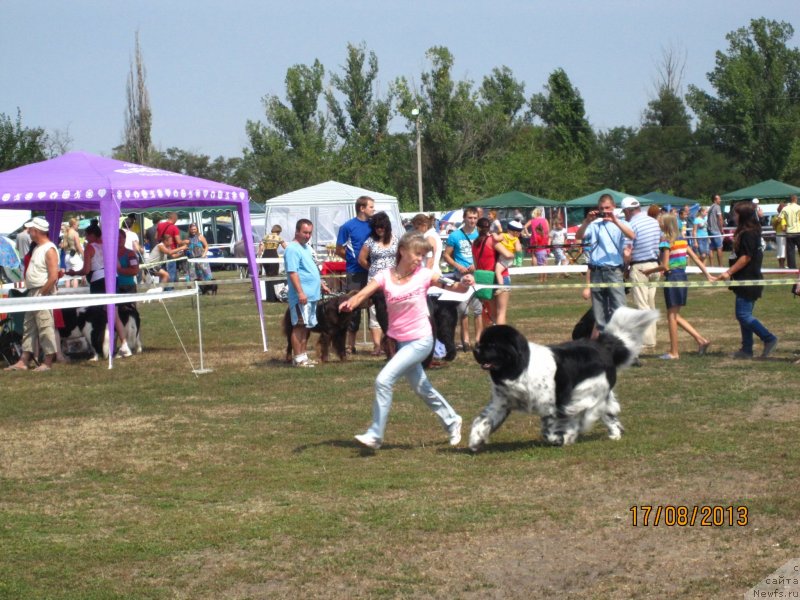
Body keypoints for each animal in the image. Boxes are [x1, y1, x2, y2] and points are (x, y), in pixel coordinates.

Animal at [468, 310, 656, 450]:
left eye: (492, 345)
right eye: (481, 342)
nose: (475, 349)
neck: (519, 366)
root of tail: (603, 347)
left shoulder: (550, 405)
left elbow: (550, 427)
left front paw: (560, 439)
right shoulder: (501, 403)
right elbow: (483, 420)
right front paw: (475, 440)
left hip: (585, 391)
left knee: (586, 413)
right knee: (607, 413)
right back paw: (614, 434)